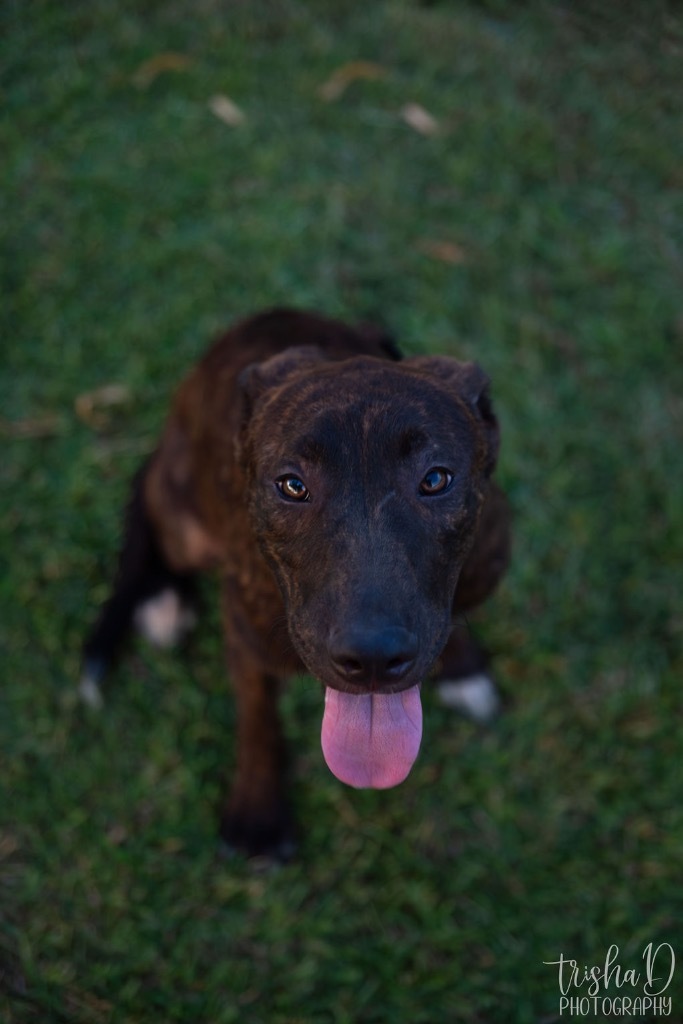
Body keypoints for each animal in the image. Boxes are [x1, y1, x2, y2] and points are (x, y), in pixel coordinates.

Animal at [80, 307, 509, 860]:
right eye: (293, 485)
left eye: (436, 479)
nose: (372, 659)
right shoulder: (246, 636)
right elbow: (259, 719)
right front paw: (258, 814)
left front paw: (461, 665)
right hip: (184, 521)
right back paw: (163, 598)